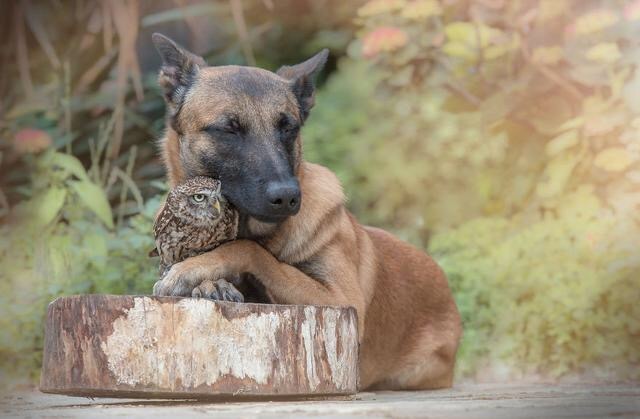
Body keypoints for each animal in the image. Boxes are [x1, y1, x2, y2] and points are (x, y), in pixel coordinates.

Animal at [150, 32, 460, 390]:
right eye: (229, 129)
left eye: (288, 128)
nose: (286, 197)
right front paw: (210, 283)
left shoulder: (342, 301)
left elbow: (251, 250)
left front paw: (195, 270)